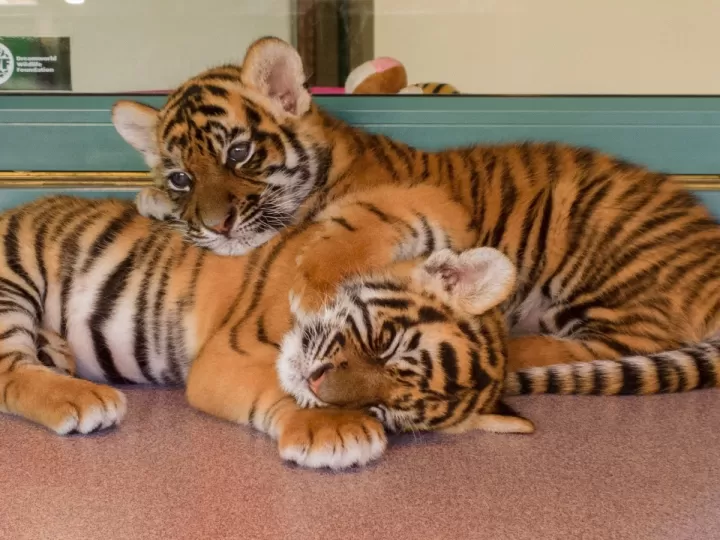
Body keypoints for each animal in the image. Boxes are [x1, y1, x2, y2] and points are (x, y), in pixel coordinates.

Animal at [117, 36, 719, 416]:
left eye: (238, 153)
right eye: (181, 178)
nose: (217, 227)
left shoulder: (425, 199)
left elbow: (356, 220)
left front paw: (313, 287)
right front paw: (152, 200)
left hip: (599, 275)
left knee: (623, 344)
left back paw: (518, 347)